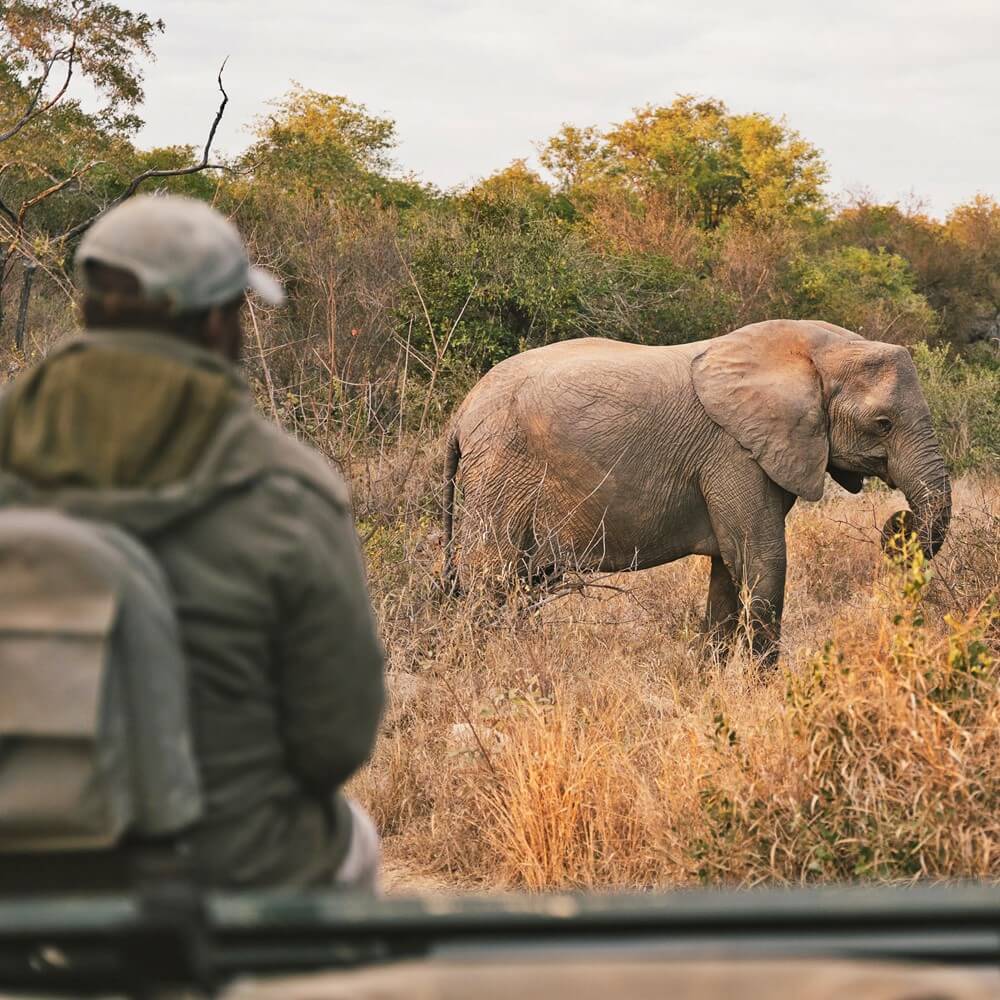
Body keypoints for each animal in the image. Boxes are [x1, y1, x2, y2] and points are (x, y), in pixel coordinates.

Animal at [441, 319, 952, 662]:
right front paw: (761, 692)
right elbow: (763, 560)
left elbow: (730, 568)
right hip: (502, 471)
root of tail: (462, 412)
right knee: (491, 579)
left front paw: (713, 682)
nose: (898, 525)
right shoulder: (734, 452)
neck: (813, 355)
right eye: (882, 424)